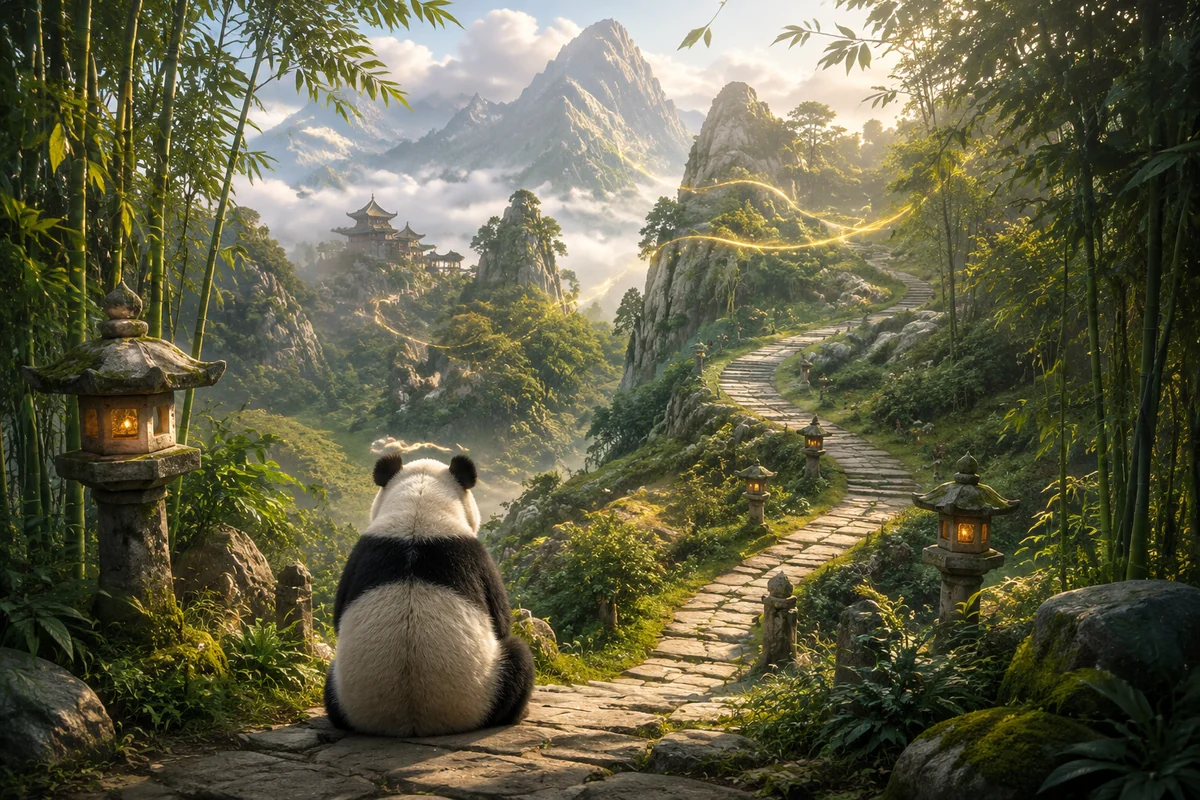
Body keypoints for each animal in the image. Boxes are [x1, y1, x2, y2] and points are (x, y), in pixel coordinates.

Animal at [323, 452, 534, 736]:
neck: (418, 510)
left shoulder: (359, 557)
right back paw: (519, 712)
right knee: (518, 658)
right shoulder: (476, 558)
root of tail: (413, 722)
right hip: (487, 687)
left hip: (341, 694)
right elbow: (500, 619)